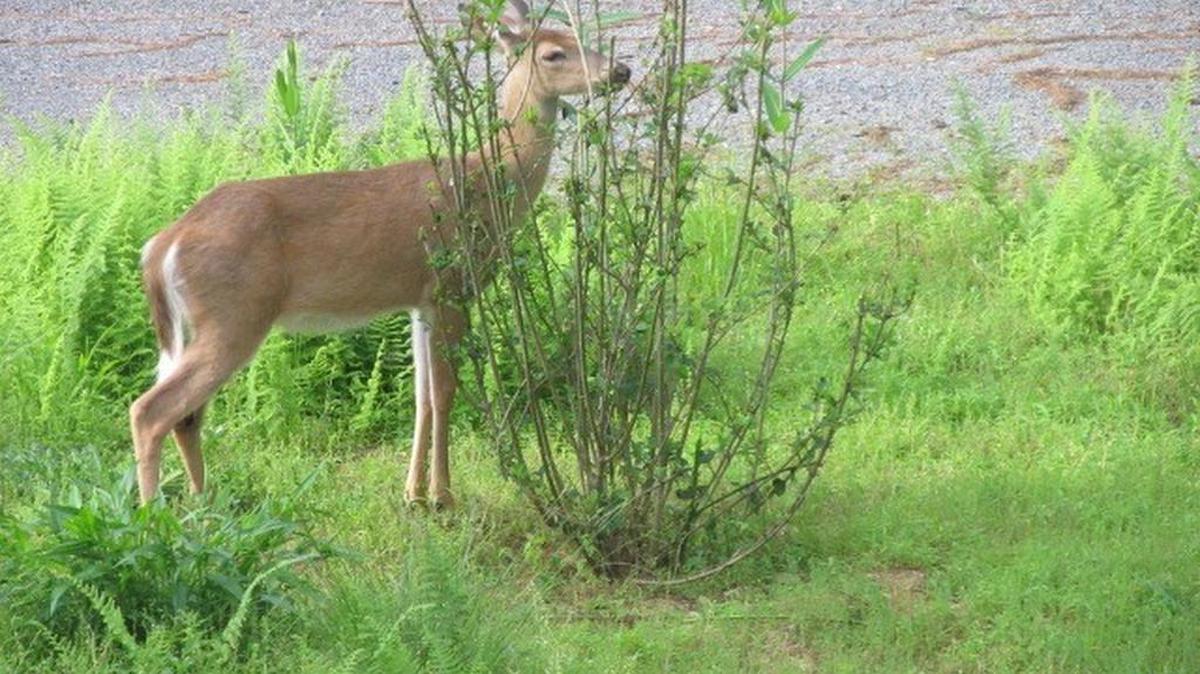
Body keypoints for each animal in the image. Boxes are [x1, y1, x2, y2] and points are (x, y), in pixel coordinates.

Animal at [130, 0, 631, 508]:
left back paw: (202, 505)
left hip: (200, 323)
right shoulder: (450, 284)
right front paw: (443, 497)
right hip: (235, 313)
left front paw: (412, 494)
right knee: (152, 410)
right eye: (554, 54)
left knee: (187, 415)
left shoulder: (419, 300)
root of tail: (163, 243)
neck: (486, 181)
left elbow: (422, 395)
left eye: (578, 36)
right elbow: (446, 391)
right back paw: (155, 513)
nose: (620, 70)